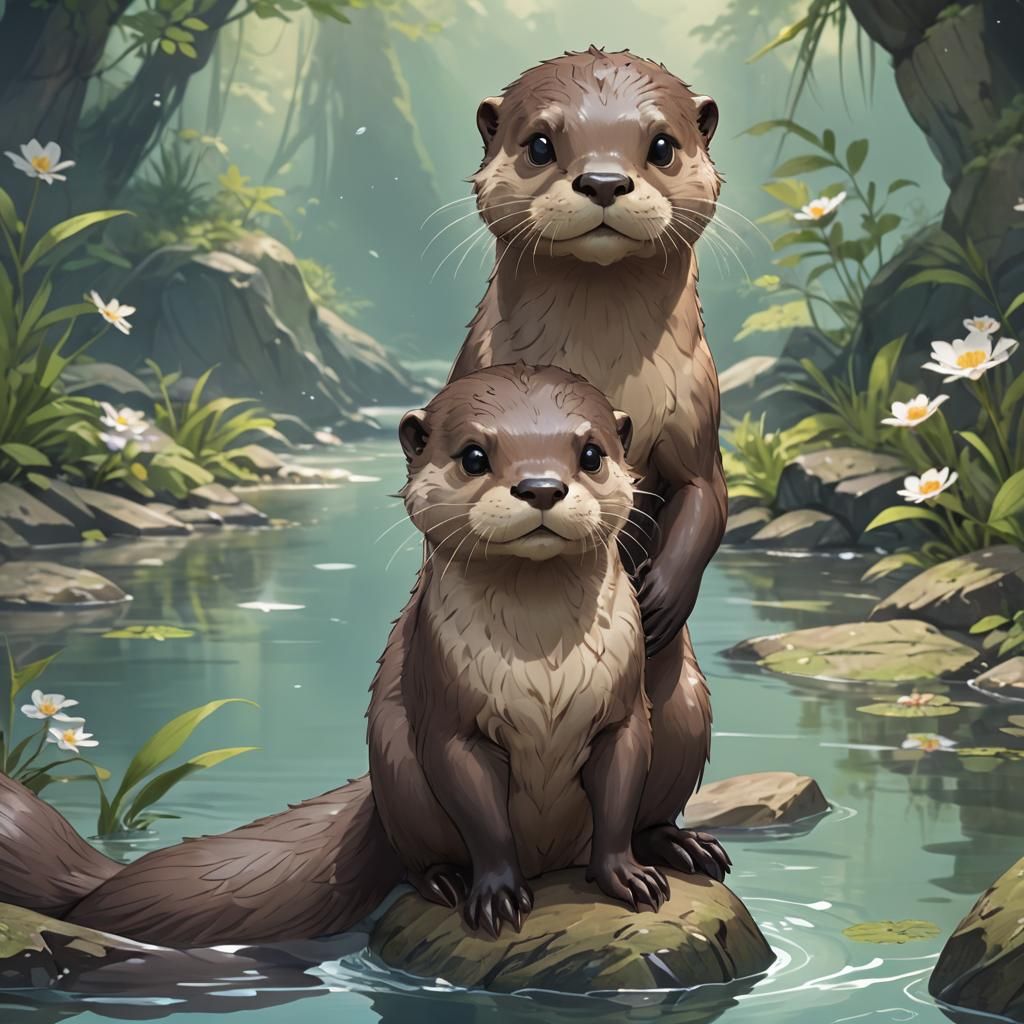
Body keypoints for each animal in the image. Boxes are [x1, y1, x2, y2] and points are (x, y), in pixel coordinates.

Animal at [0, 365, 726, 946]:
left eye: (591, 452)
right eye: (473, 455)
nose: (543, 487)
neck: (543, 668)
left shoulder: (623, 712)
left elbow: (618, 798)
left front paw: (627, 877)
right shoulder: (444, 718)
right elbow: (482, 817)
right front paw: (492, 893)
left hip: (685, 710)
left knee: (652, 801)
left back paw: (681, 845)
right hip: (396, 762)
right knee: (413, 853)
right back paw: (443, 880)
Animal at [448, 46, 728, 879]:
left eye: (661, 145)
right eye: (541, 143)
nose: (604, 181)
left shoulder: (701, 413)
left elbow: (708, 500)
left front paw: (659, 596)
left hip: (687, 708)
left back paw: (680, 843)